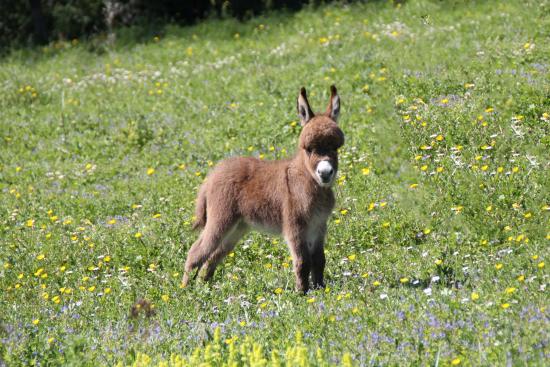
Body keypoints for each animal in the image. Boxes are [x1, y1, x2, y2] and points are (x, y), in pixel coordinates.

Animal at [182, 85, 344, 294]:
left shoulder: (319, 226)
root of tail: (211, 175)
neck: (308, 181)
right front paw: (302, 294)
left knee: (213, 256)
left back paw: (206, 288)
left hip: (237, 227)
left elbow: (319, 260)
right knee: (197, 251)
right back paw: (184, 291)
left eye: (335, 148)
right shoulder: (295, 227)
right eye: (308, 149)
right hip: (220, 219)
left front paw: (320, 290)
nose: (325, 173)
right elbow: (302, 262)